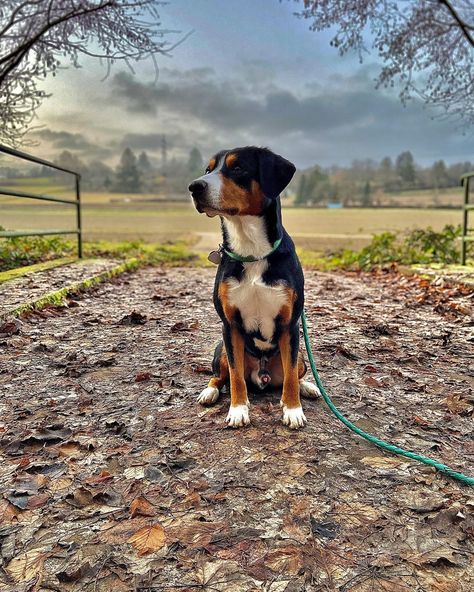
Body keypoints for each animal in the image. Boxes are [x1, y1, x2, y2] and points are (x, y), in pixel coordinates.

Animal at [188, 146, 318, 428]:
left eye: (237, 168)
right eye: (208, 169)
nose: (194, 186)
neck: (252, 252)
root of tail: (263, 373)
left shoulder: (290, 325)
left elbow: (291, 376)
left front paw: (293, 409)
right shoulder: (230, 326)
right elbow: (236, 376)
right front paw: (238, 410)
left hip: (301, 355)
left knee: (296, 372)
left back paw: (308, 387)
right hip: (221, 349)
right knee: (220, 376)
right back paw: (209, 392)